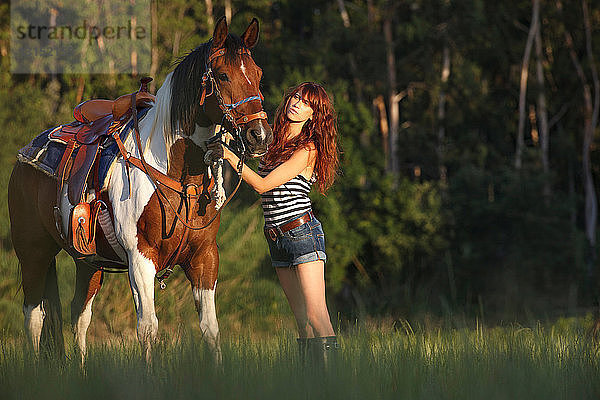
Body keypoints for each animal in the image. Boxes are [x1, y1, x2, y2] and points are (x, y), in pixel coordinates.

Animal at [7, 16, 272, 362]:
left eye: (258, 74)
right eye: (224, 75)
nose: (260, 136)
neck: (175, 176)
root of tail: (26, 153)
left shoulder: (204, 257)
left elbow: (210, 329)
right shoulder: (140, 258)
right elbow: (148, 329)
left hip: (87, 262)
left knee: (79, 315)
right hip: (33, 252)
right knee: (34, 317)